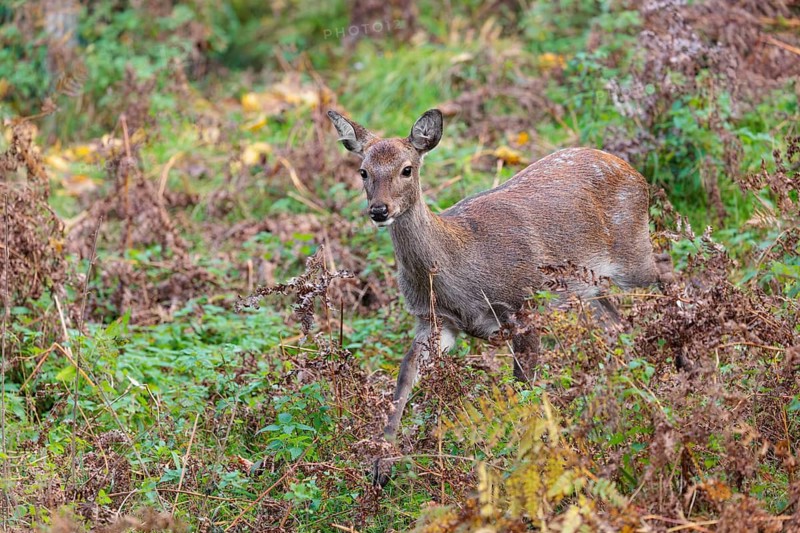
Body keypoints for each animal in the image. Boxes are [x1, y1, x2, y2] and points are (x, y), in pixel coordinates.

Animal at [327, 108, 671, 477]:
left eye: (407, 169)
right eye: (363, 171)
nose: (379, 210)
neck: (458, 268)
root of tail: (634, 173)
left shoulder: (523, 304)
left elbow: (523, 386)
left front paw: (521, 456)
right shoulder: (434, 320)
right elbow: (405, 376)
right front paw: (380, 461)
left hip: (633, 254)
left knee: (668, 270)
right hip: (588, 287)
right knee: (616, 322)